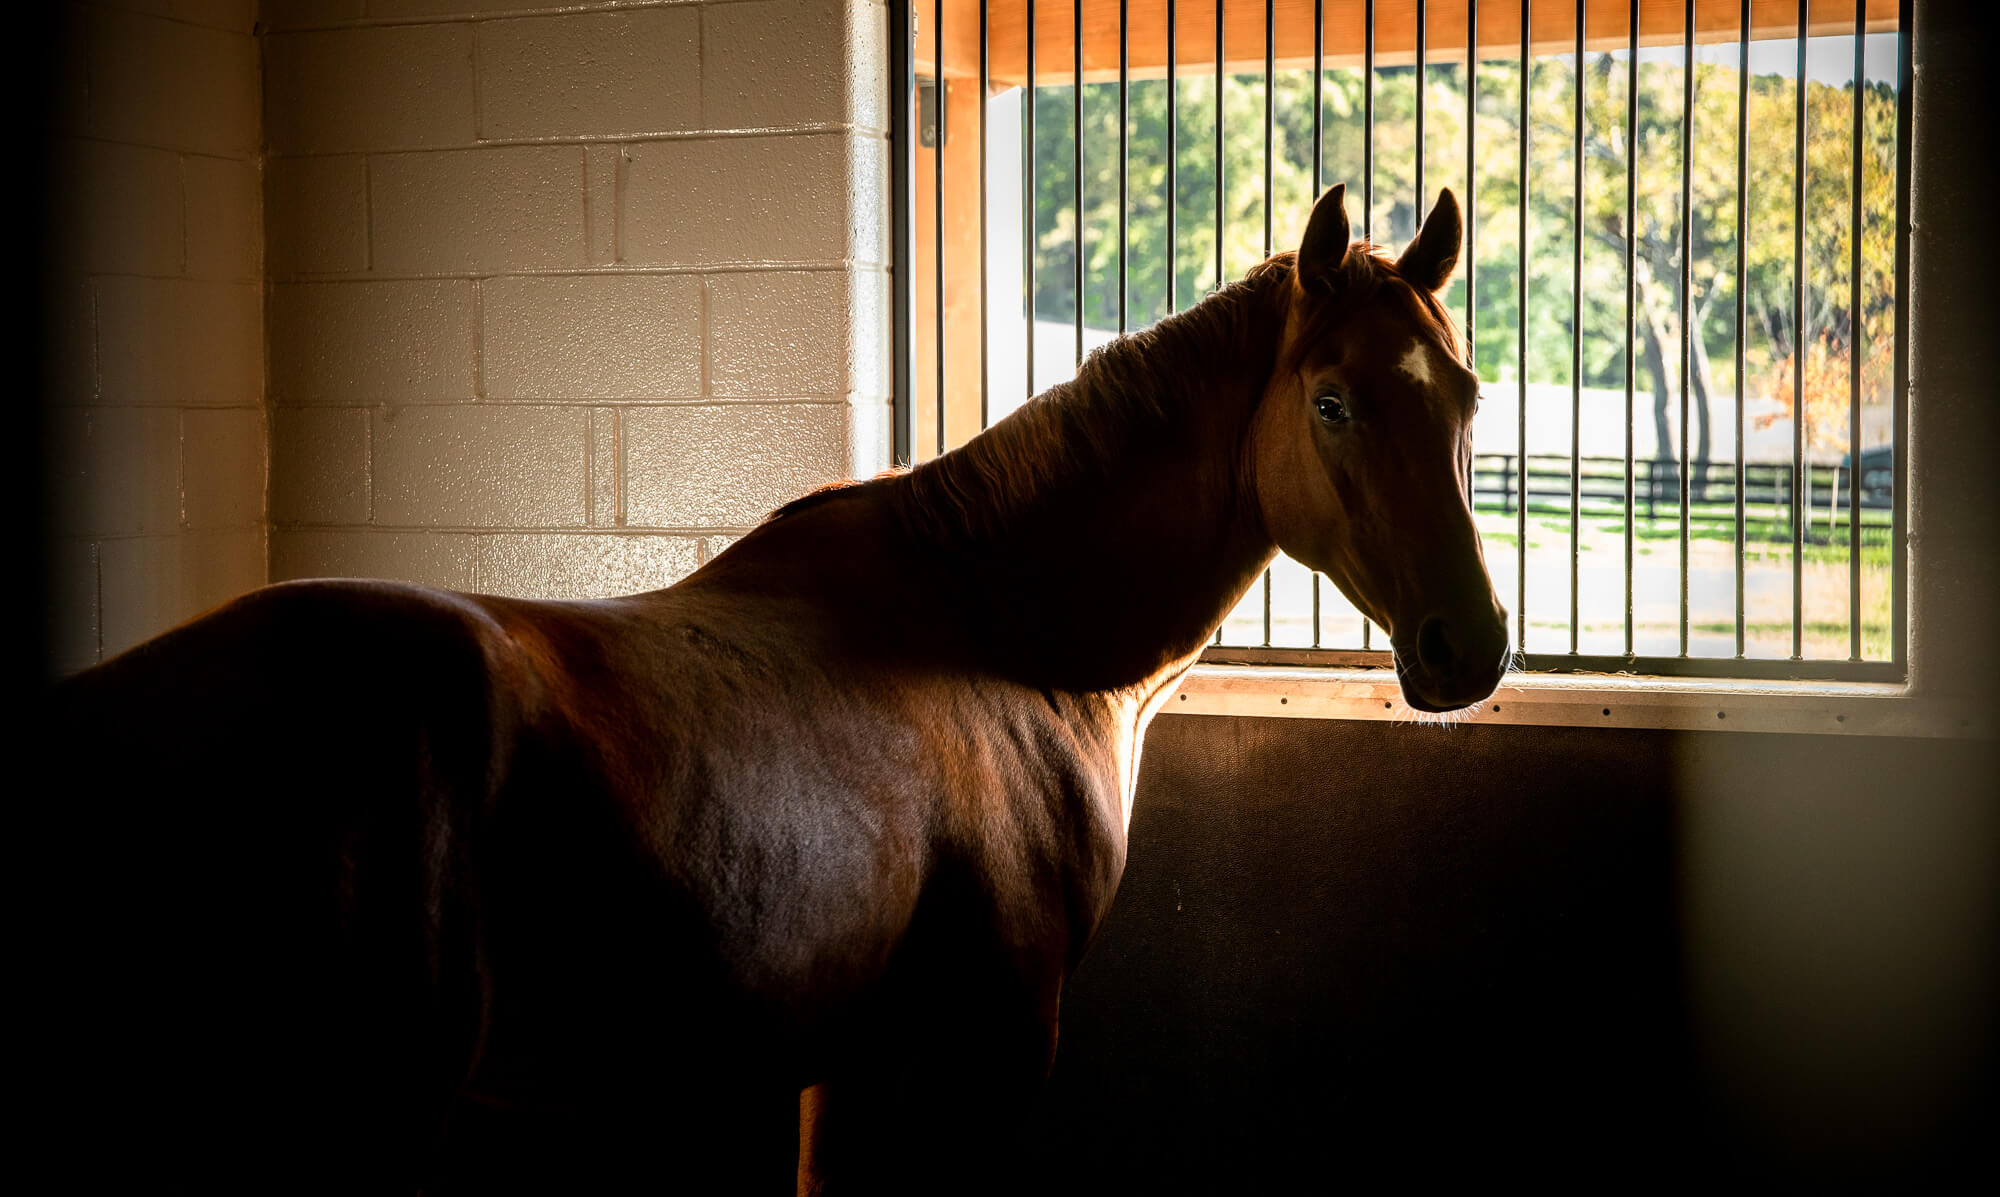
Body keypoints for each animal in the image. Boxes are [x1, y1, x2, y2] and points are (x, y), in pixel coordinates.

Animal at [39, 183, 1504, 1192]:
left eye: (1470, 394)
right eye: (1330, 403)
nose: (1469, 646)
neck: (997, 631)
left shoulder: (848, 1058)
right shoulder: (993, 1044)